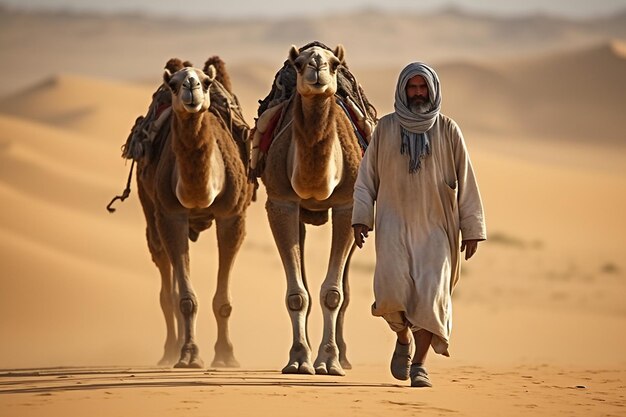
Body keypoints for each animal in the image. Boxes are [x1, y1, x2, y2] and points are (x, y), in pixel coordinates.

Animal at [138, 56, 252, 368]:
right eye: (173, 84)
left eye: (207, 81)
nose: (191, 85)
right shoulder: (171, 216)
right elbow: (185, 299)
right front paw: (189, 355)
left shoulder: (232, 216)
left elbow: (222, 301)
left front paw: (225, 356)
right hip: (150, 209)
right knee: (166, 281)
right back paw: (169, 352)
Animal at [258, 44, 364, 376]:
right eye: (299, 63)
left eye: (334, 63)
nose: (317, 65)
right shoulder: (281, 202)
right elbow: (296, 294)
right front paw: (299, 359)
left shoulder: (347, 205)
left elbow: (333, 294)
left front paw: (329, 361)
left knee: (345, 287)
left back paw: (344, 357)